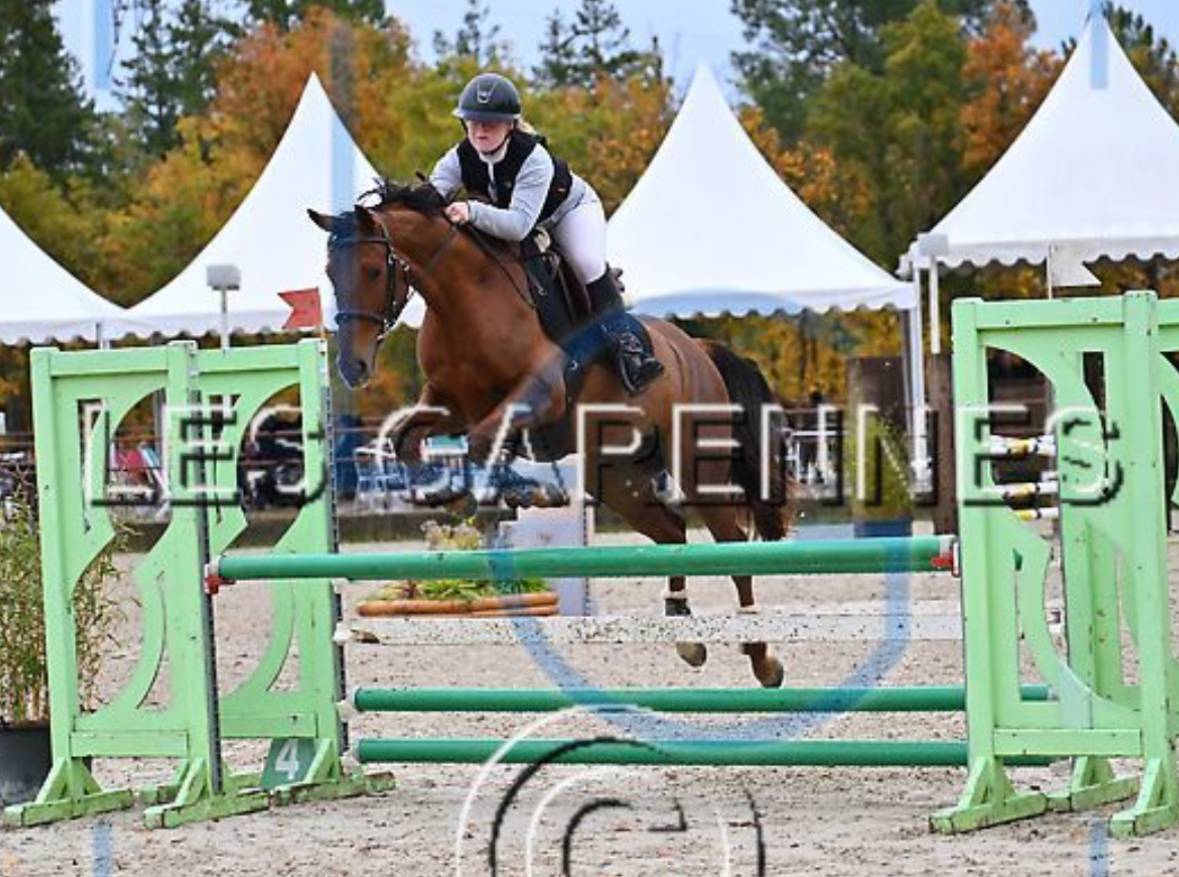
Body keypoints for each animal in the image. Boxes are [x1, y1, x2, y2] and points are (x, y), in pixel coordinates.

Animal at [307, 181, 795, 687]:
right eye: (330, 273)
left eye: (371, 269)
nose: (352, 366)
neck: (464, 300)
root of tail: (697, 349)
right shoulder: (451, 406)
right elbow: (409, 441)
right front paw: (460, 494)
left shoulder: (541, 399)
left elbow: (482, 443)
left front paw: (523, 492)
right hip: (617, 477)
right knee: (673, 534)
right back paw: (685, 633)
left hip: (697, 465)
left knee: (731, 542)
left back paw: (762, 657)